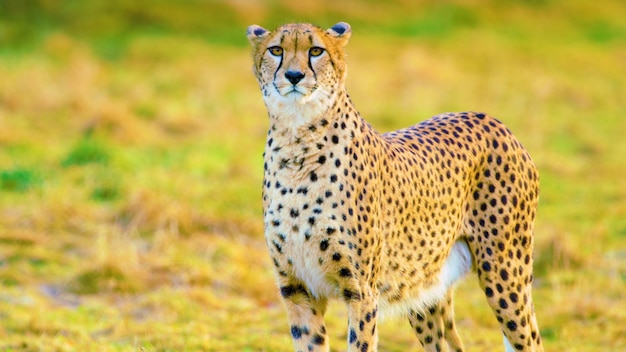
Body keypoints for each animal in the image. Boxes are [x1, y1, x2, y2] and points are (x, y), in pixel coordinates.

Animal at [246, 22, 540, 352]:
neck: (297, 143)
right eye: (276, 50)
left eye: (316, 50)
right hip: (423, 288)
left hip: (505, 274)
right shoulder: (297, 289)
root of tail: (492, 119)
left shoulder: (361, 292)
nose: (294, 75)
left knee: (531, 338)